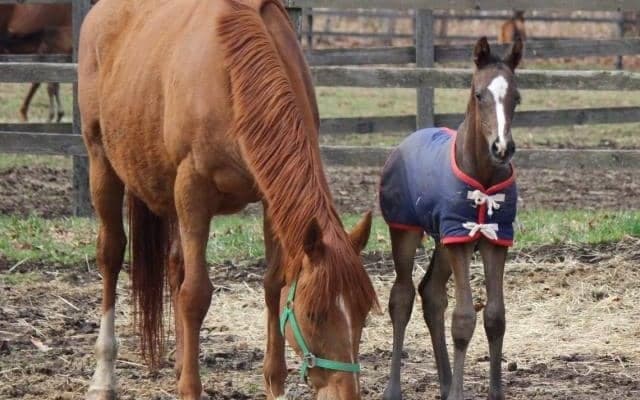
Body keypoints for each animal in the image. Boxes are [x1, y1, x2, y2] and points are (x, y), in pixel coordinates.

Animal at [78, 0, 378, 399]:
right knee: (111, 255)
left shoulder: (271, 201)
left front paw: (274, 384)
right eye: (314, 314)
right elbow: (195, 294)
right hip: (102, 162)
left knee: (175, 264)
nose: (347, 392)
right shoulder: (193, 190)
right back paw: (104, 376)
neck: (233, 80)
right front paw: (190, 388)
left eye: (362, 312)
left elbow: (273, 284)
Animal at [379, 36, 523, 400]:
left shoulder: (493, 238)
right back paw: (394, 389)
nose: (502, 148)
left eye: (516, 97)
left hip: (444, 239)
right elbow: (463, 318)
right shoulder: (460, 240)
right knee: (402, 297)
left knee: (431, 294)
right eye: (479, 94)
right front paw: (459, 393)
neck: (483, 176)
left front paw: (494, 394)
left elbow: (495, 317)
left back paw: (444, 384)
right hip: (406, 232)